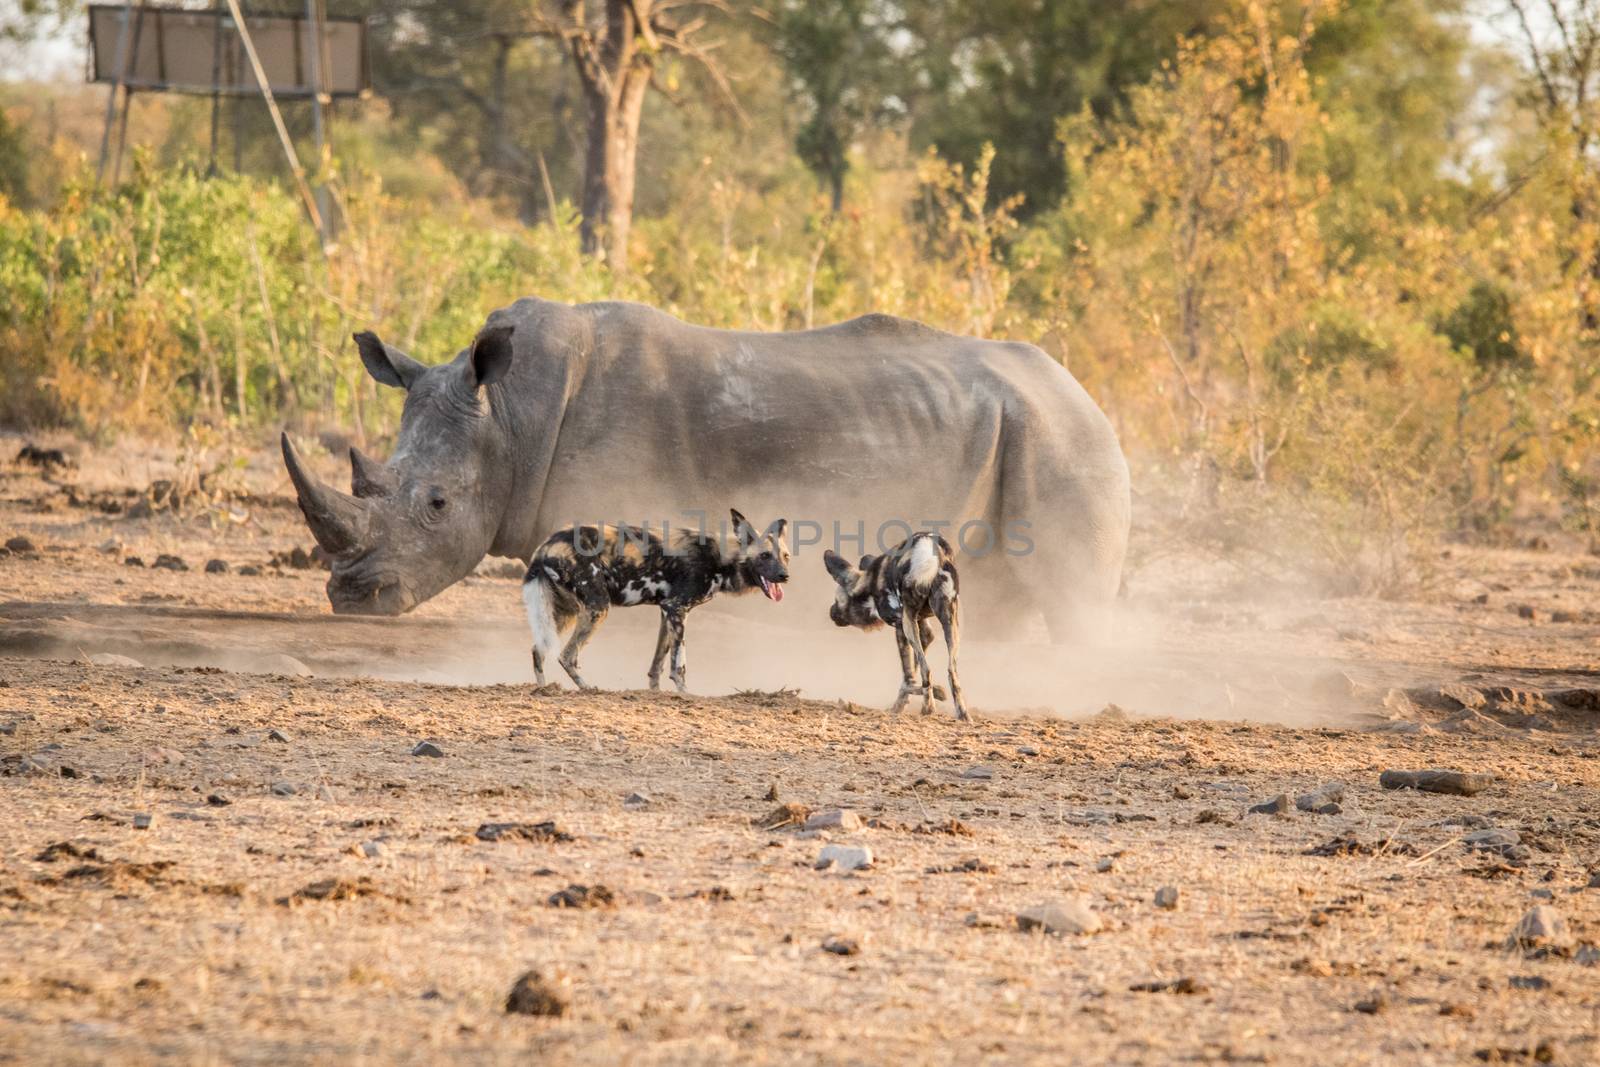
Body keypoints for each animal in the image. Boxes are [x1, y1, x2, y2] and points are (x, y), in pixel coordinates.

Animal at [521, 508, 790, 694]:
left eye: (785, 556)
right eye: (765, 556)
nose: (785, 576)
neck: (720, 557)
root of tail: (546, 545)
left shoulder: (667, 612)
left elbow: (657, 664)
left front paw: (656, 693)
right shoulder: (677, 609)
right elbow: (679, 665)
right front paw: (685, 694)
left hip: (565, 613)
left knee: (538, 651)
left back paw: (544, 690)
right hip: (598, 609)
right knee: (567, 655)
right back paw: (588, 689)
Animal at [825, 534, 972, 726]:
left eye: (836, 600)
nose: (831, 612)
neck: (870, 586)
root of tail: (930, 546)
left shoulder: (901, 626)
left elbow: (908, 678)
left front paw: (927, 695)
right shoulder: (923, 629)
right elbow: (912, 674)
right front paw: (905, 703)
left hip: (910, 625)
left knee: (927, 670)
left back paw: (928, 708)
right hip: (950, 624)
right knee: (951, 672)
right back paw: (963, 714)